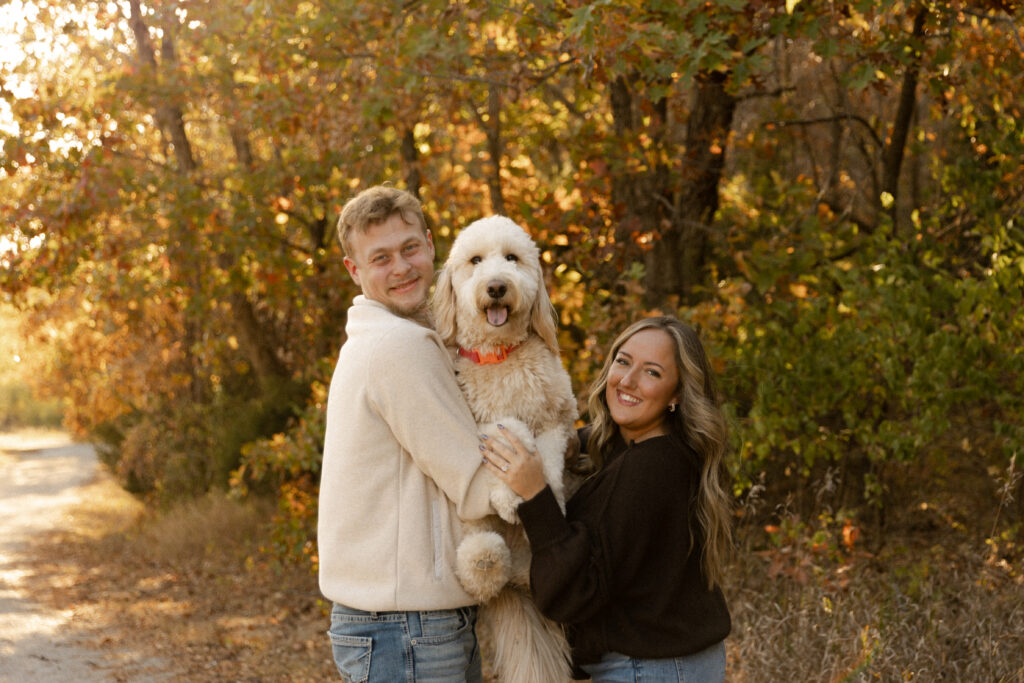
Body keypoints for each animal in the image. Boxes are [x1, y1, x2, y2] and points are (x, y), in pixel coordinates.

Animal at [430, 215, 577, 683]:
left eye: (512, 258)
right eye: (475, 261)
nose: (496, 286)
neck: (501, 357)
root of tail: (519, 584)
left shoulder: (558, 416)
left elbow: (547, 454)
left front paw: (545, 497)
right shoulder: (473, 421)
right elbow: (507, 426)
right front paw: (511, 498)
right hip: (476, 556)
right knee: (479, 568)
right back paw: (486, 558)